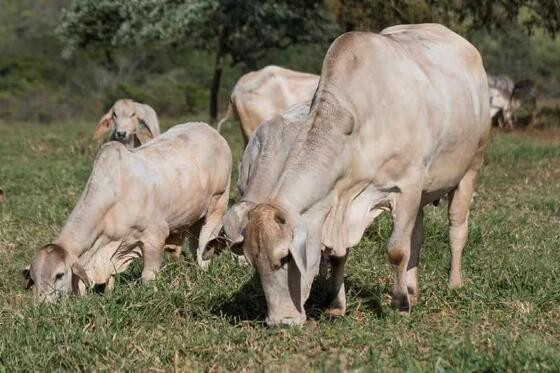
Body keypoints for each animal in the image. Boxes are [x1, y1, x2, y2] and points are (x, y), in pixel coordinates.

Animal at [24, 123, 230, 302]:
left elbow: (148, 276)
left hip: (218, 204)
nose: (41, 305)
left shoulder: (155, 237)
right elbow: (109, 280)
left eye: (59, 275)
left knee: (204, 243)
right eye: (33, 278)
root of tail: (212, 131)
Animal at [241, 24, 490, 324]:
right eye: (253, 262)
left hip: (470, 166)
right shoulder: (342, 203)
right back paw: (412, 289)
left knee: (456, 228)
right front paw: (336, 306)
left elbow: (397, 250)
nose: (280, 322)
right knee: (417, 235)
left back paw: (453, 283)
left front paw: (399, 305)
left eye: (283, 257)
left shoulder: (407, 186)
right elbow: (339, 255)